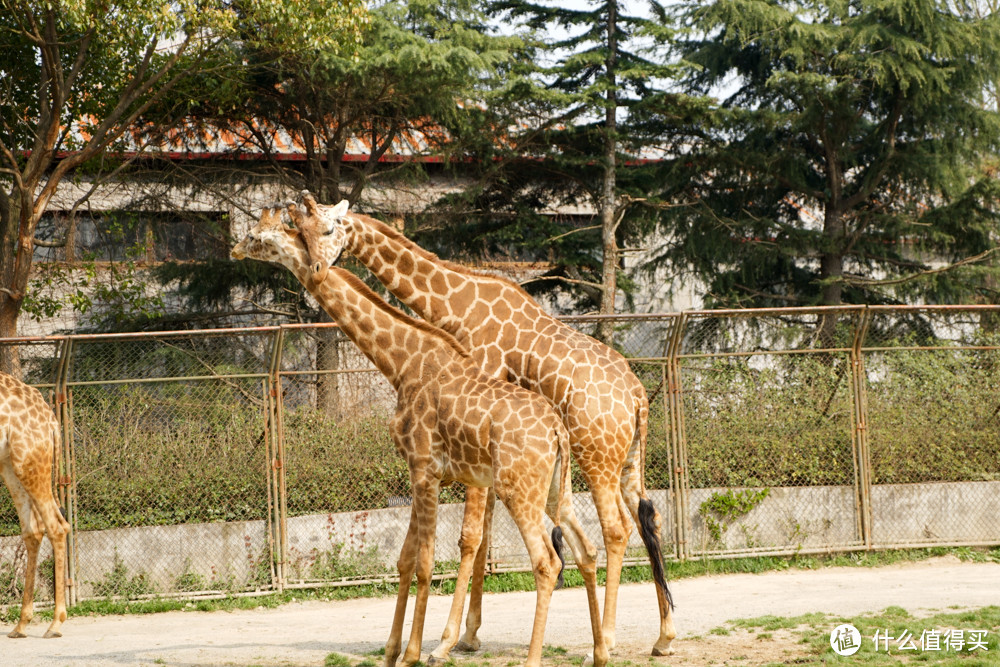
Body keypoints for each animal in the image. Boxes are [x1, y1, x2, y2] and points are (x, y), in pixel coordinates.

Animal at [0, 374, 71, 640]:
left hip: (28, 460)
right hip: (9, 464)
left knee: (56, 526)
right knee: (32, 530)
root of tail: (51, 420)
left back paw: (55, 624)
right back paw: (21, 624)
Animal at [232, 204, 608, 667]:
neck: (402, 362)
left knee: (548, 561)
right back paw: (600, 651)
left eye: (257, 234)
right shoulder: (416, 471)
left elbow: (428, 562)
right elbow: (405, 559)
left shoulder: (426, 469)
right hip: (557, 488)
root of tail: (556, 429)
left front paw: (415, 652)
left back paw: (534, 658)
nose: (234, 249)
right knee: (587, 549)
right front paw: (392, 650)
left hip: (519, 488)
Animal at [296, 193, 672, 656]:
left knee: (617, 530)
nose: (316, 269)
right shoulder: (482, 450)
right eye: (304, 230)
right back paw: (664, 636)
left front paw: (444, 642)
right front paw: (470, 634)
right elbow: (485, 536)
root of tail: (637, 396)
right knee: (649, 518)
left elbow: (470, 537)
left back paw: (607, 640)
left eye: (329, 228)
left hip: (596, 455)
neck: (454, 306)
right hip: (627, 458)